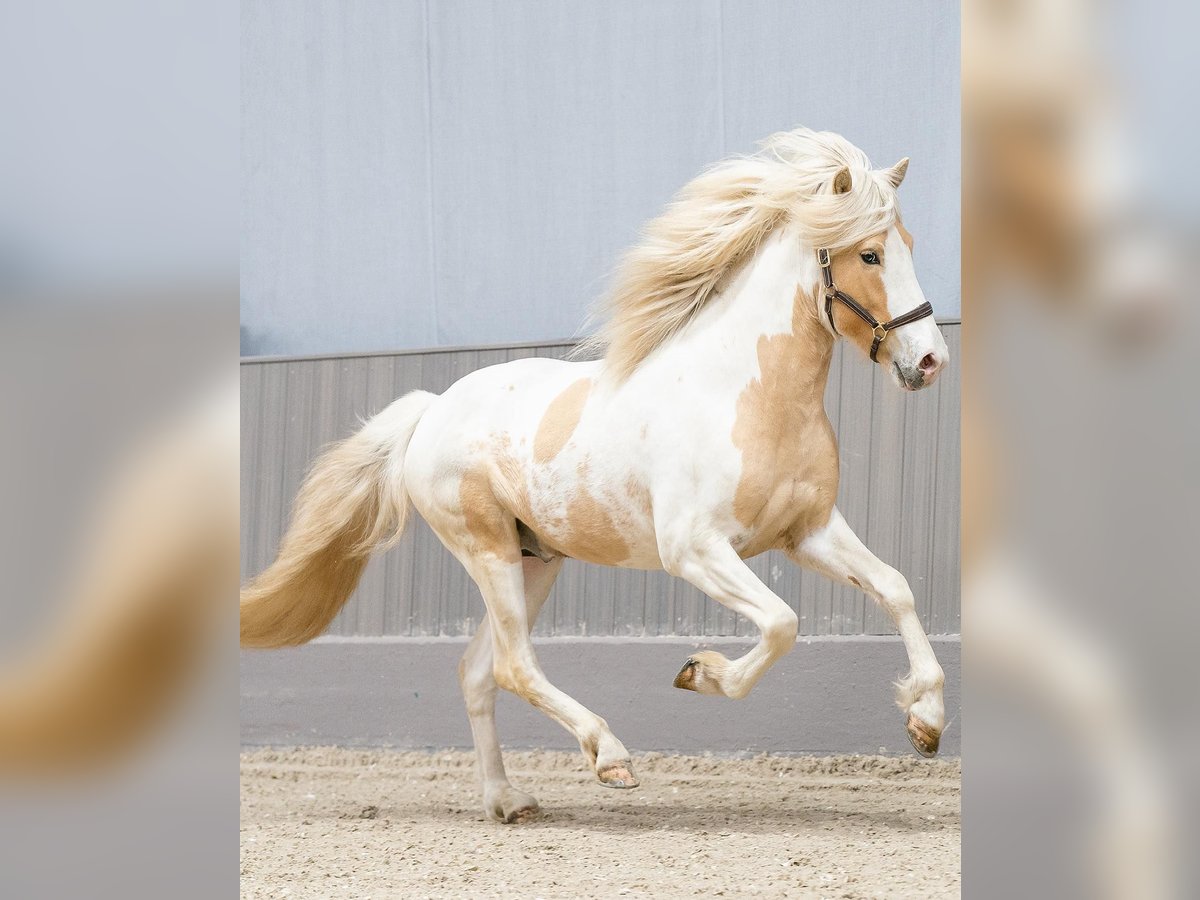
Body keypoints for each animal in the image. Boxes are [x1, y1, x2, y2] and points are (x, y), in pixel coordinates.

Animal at [243, 127, 950, 825]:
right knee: (513, 665)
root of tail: (430, 411)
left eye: (909, 246)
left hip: (535, 561)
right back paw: (609, 756)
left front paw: (926, 720)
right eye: (869, 255)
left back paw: (508, 801)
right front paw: (698, 673)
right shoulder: (696, 549)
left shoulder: (808, 533)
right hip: (488, 551)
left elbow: (895, 588)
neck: (746, 394)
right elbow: (782, 623)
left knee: (478, 671)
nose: (930, 361)